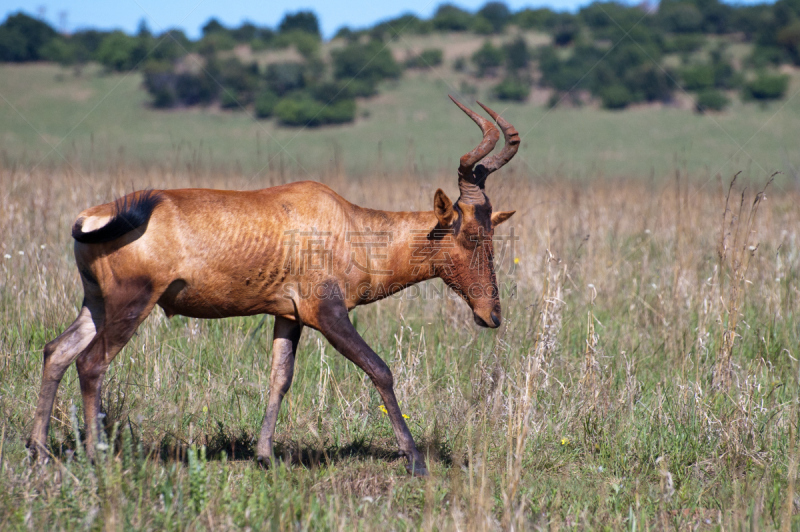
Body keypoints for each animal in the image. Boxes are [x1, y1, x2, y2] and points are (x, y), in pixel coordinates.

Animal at [26, 97, 520, 476]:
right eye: (469, 234)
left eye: (491, 232)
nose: (491, 315)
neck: (344, 221)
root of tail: (92, 216)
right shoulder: (328, 314)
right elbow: (380, 369)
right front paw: (415, 460)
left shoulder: (288, 316)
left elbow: (279, 378)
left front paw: (264, 457)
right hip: (132, 303)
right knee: (90, 363)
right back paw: (96, 456)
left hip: (96, 304)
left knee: (57, 351)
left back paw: (39, 450)